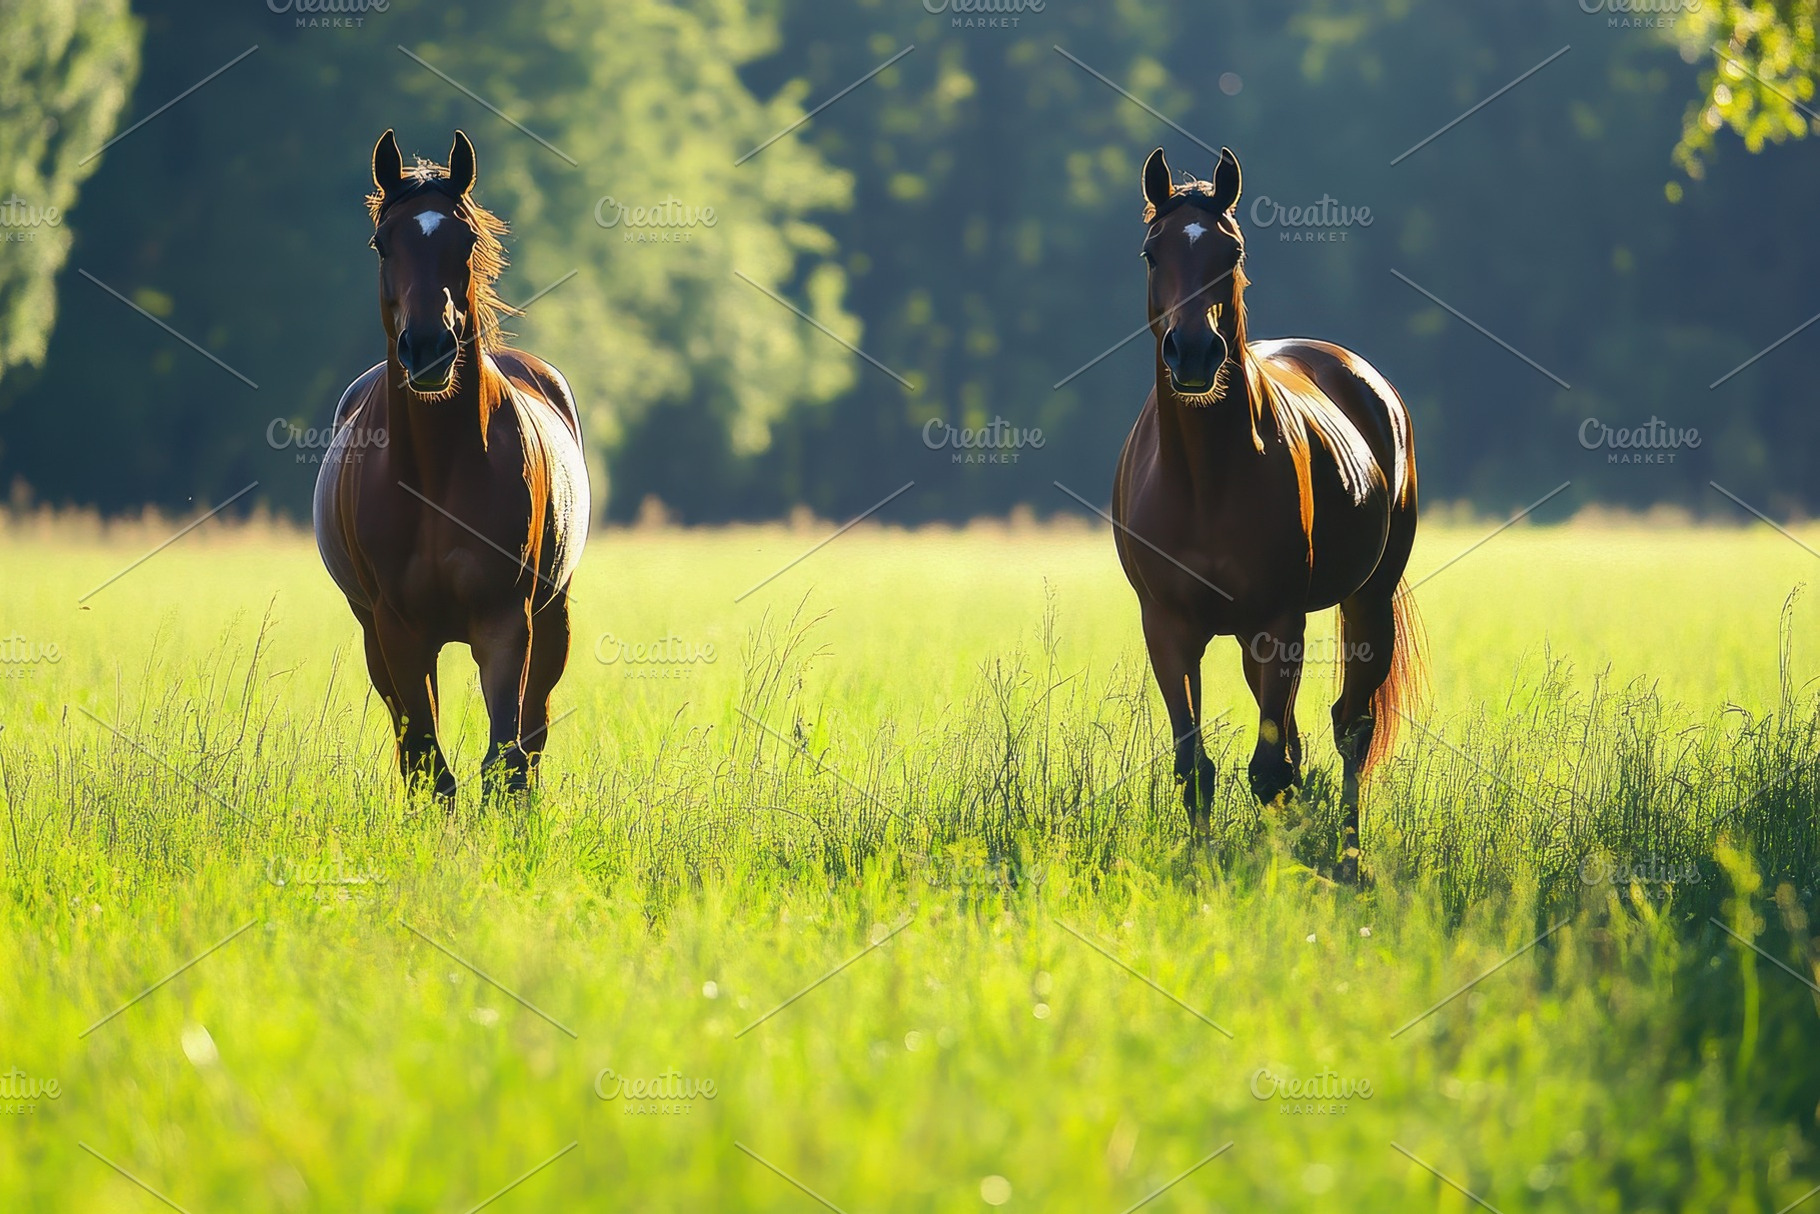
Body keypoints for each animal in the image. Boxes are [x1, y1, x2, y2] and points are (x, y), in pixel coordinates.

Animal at [314, 130, 590, 799]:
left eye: (463, 239)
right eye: (382, 243)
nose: (429, 350)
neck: (437, 474)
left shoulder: (506, 624)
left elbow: (506, 759)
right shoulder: (398, 632)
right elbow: (427, 764)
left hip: (554, 618)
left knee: (532, 737)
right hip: (377, 637)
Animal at [1111, 146, 1424, 881]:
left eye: (1231, 251)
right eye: (1150, 252)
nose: (1195, 353)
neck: (1205, 475)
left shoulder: (1277, 624)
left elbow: (1270, 770)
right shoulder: (1167, 629)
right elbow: (1196, 767)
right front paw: (1203, 872)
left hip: (1368, 599)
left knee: (1350, 728)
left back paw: (1349, 862)